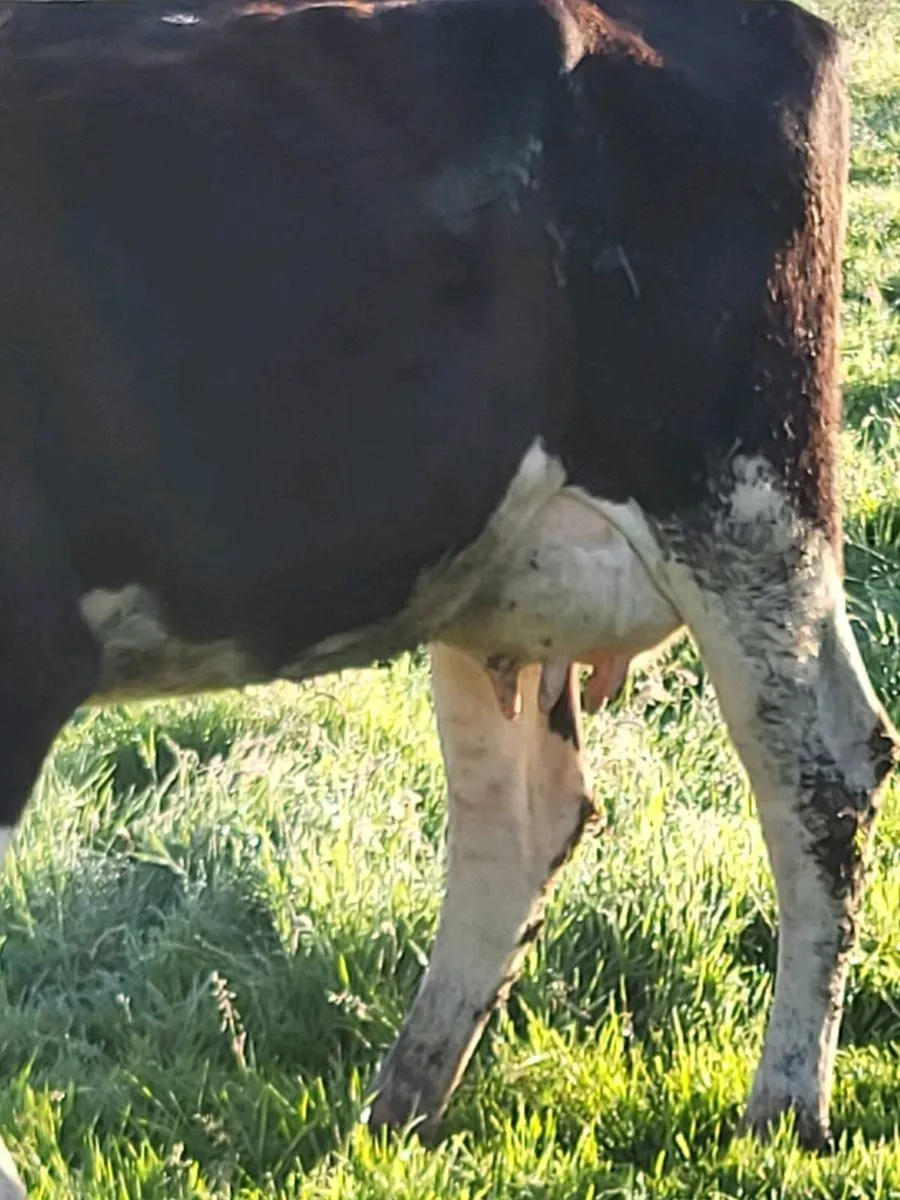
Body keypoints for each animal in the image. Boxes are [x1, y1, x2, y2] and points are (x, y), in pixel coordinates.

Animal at [0, 0, 895, 1192]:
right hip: (491, 571)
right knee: (519, 817)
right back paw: (404, 1102)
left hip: (741, 491)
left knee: (822, 772)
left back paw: (785, 1108)